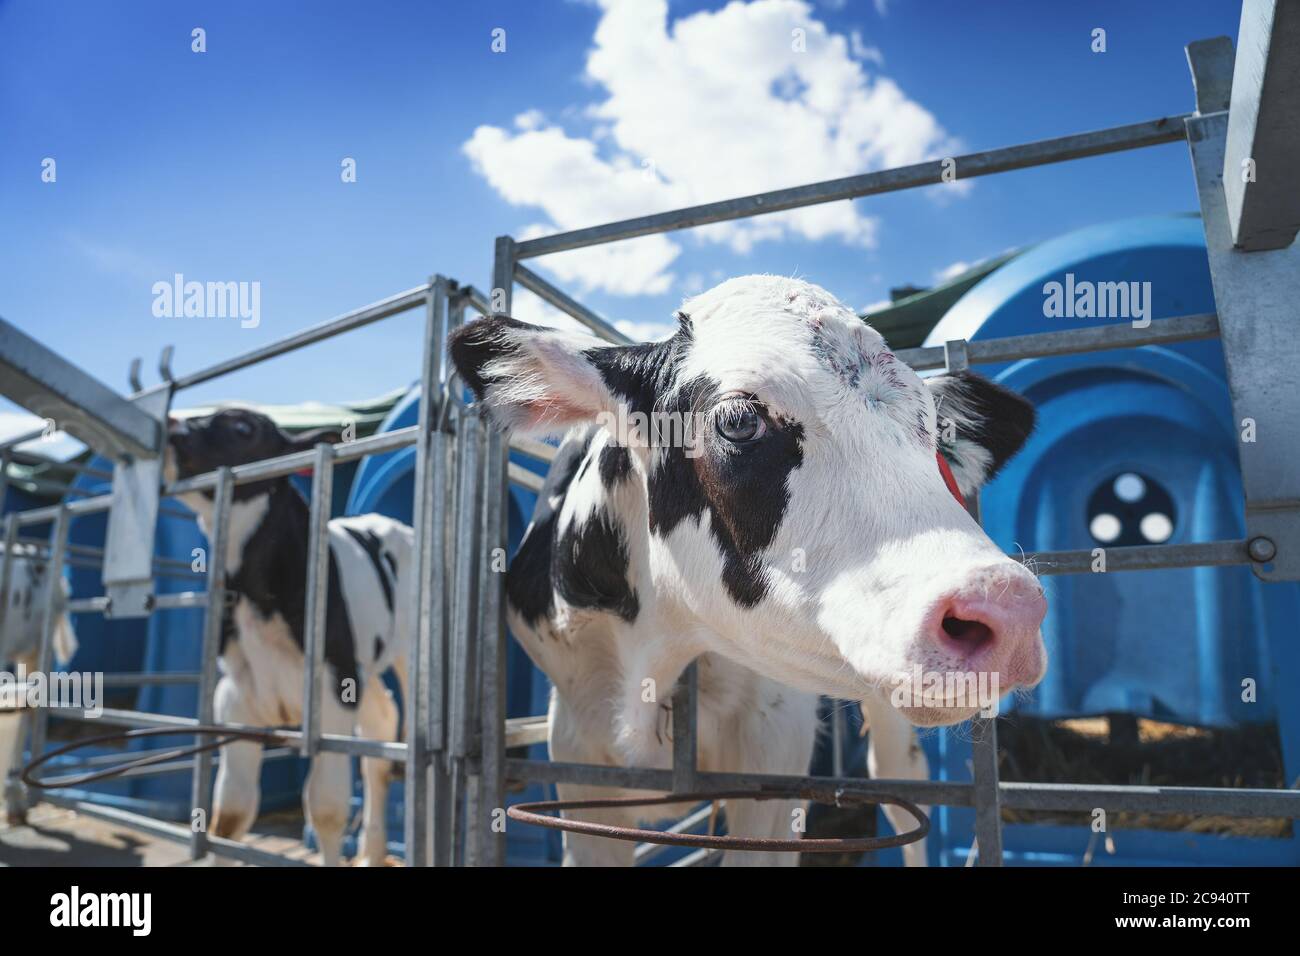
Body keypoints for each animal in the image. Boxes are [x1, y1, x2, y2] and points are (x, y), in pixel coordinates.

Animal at [165, 411, 410, 868]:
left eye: (243, 428)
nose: (173, 427)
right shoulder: (236, 700)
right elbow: (231, 815)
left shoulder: (332, 694)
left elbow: (327, 809)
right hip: (361, 669)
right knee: (380, 725)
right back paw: (372, 852)